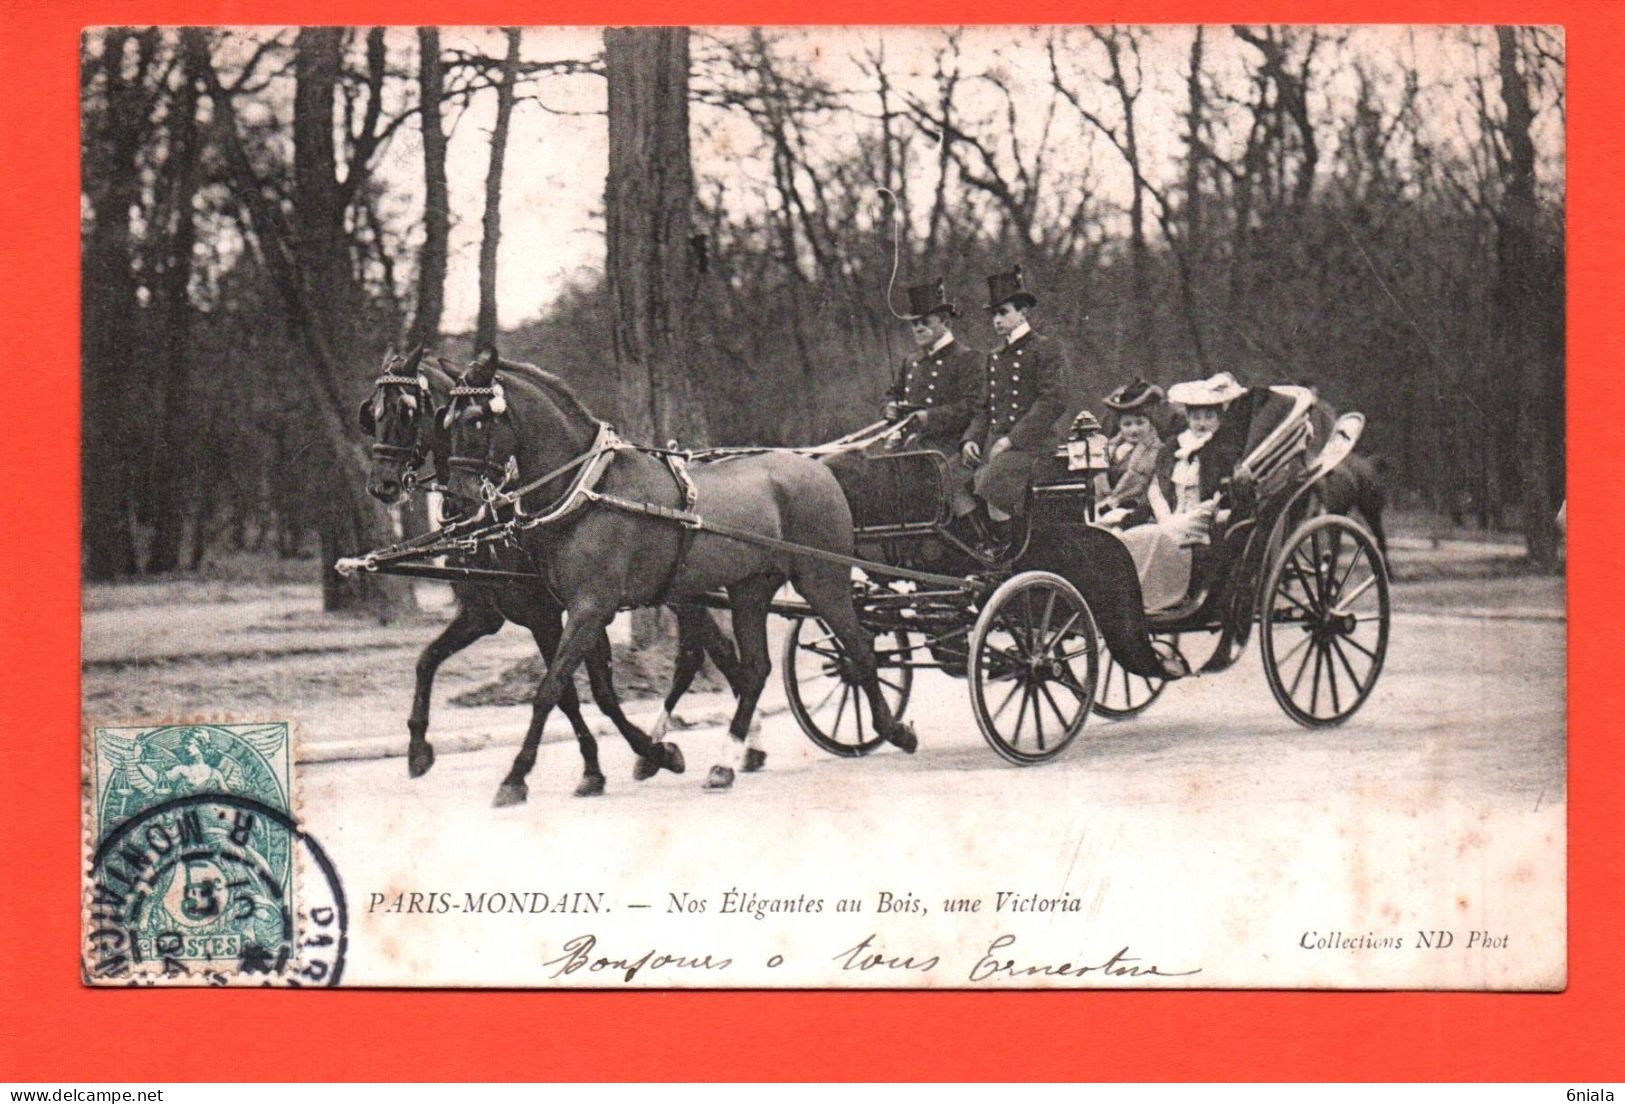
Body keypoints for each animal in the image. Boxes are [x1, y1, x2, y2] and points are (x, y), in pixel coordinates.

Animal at [359, 344, 744, 793]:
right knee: (708, 651)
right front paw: (419, 748)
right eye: (373, 412)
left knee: (714, 652)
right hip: (680, 592)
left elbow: (579, 692)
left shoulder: (554, 612)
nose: (382, 485)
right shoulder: (487, 613)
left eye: (406, 411)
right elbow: (427, 660)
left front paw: (620, 760)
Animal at [445, 347, 923, 803]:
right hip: (750, 589)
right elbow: (588, 689)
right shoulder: (580, 609)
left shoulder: (590, 608)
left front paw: (515, 777)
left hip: (823, 580)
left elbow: (551, 689)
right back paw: (726, 762)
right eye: (444, 421)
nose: (456, 504)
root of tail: (820, 467)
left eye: (475, 419)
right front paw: (652, 755)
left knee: (859, 650)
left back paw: (893, 729)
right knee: (756, 669)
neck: (589, 489)